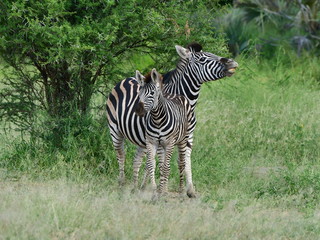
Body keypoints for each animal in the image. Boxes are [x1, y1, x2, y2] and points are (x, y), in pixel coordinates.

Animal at [134, 68, 194, 196]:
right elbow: (152, 165)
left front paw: (162, 192)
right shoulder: (152, 142)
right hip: (162, 145)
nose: (138, 111)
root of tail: (178, 95)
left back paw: (181, 190)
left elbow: (167, 167)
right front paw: (155, 189)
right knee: (163, 165)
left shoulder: (169, 143)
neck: (157, 119)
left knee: (181, 163)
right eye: (139, 93)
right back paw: (164, 188)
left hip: (182, 140)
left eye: (152, 93)